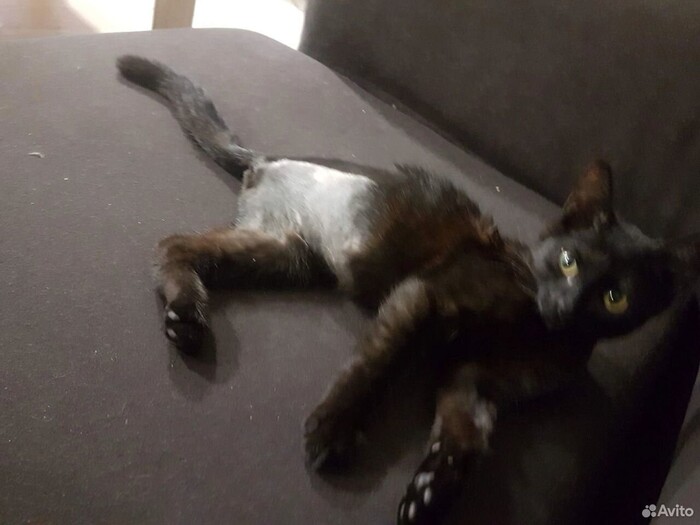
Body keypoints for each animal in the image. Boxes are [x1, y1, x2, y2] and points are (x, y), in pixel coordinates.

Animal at [116, 55, 700, 525]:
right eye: (568, 262)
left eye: (616, 298)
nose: (563, 307)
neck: (534, 328)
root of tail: (267, 157)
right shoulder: (423, 296)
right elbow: (377, 363)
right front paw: (333, 428)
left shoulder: (477, 379)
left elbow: (467, 433)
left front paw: (432, 493)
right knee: (172, 241)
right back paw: (186, 317)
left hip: (282, 255)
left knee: (181, 244)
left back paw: (185, 317)